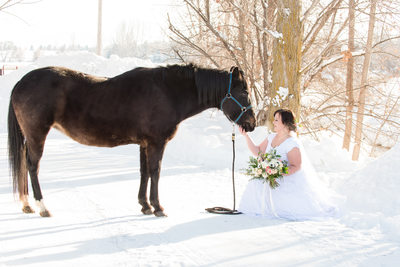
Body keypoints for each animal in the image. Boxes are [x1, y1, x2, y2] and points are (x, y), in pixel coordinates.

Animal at [7, 64, 256, 218]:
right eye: (244, 93)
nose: (252, 123)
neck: (167, 91)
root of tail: (20, 82)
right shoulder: (156, 143)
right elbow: (155, 171)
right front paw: (157, 207)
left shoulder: (144, 143)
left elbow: (144, 172)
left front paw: (144, 205)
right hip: (37, 134)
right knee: (32, 166)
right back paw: (42, 207)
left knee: (24, 165)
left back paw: (27, 205)